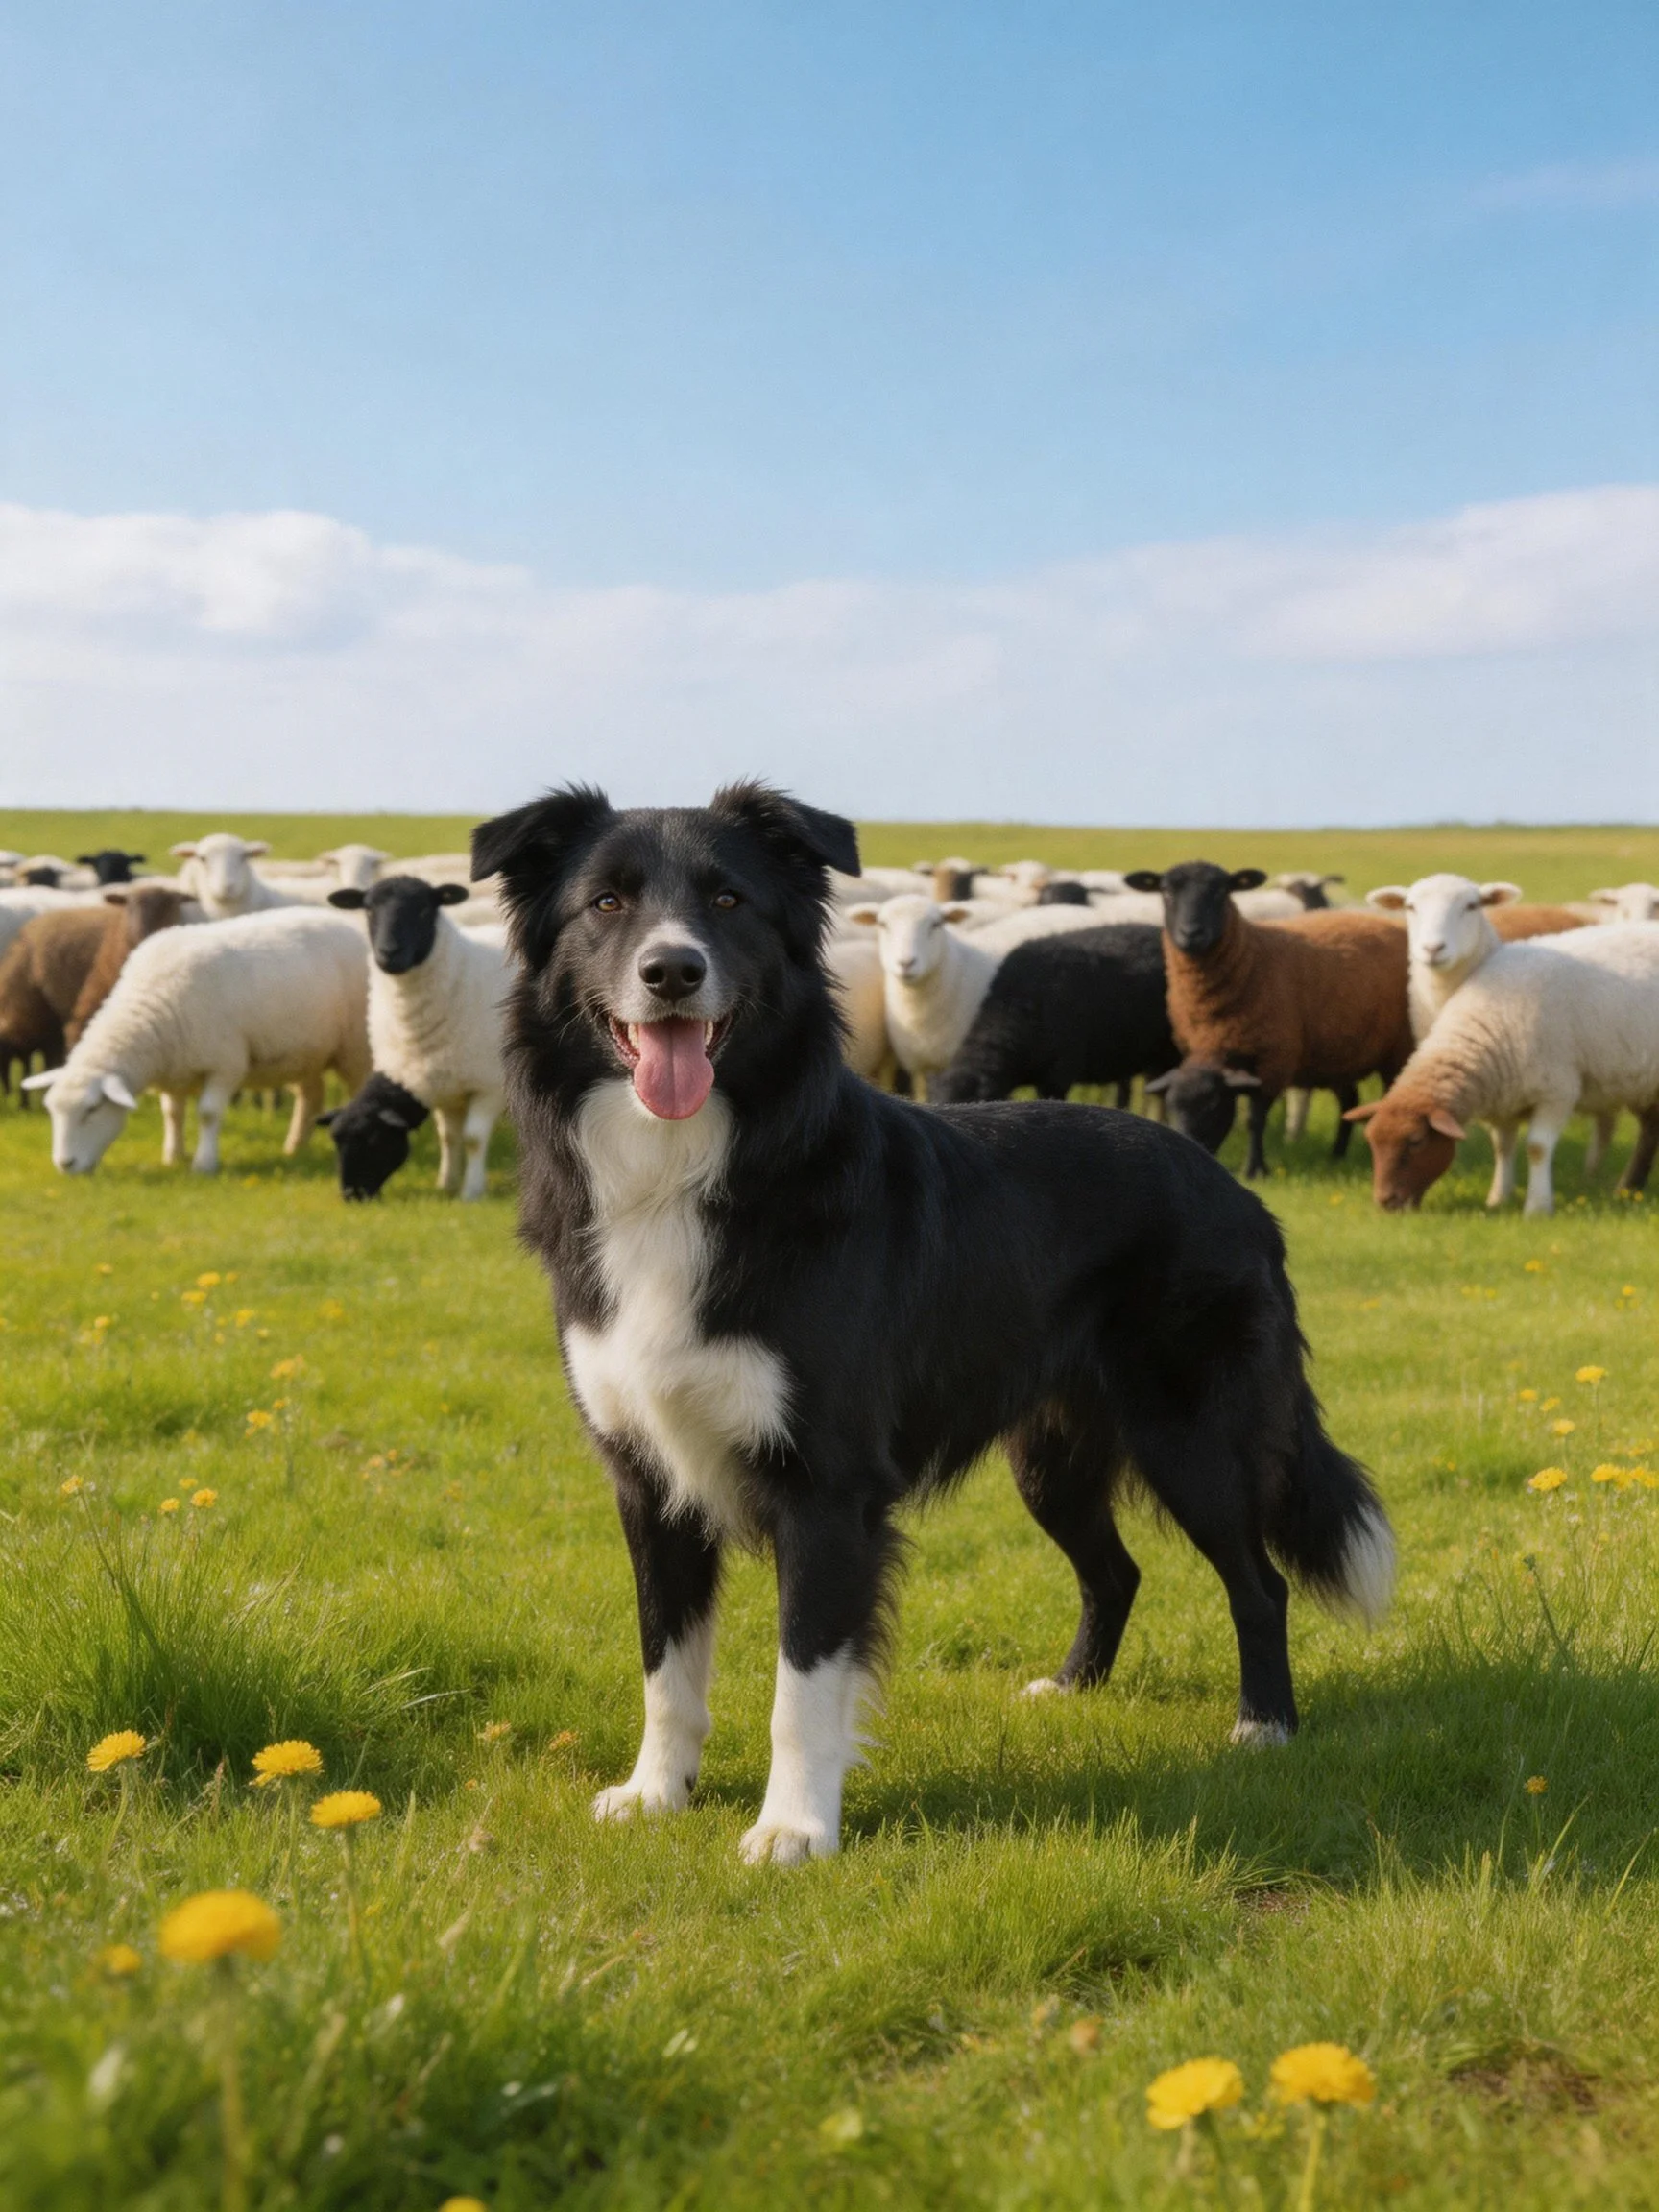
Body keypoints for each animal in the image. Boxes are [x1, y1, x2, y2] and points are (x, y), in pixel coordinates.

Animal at [23, 907, 370, 1174]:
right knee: (311, 1094)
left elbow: (207, 1113)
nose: (65, 1165)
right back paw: (295, 1149)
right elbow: (172, 1114)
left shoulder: (225, 1064)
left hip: (355, 1046)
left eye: (92, 1110)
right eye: (51, 1110)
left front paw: (204, 1164)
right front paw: (173, 1156)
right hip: (305, 1050)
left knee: (357, 1089)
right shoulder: (174, 1066)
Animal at [327, 877, 509, 1199]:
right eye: (368, 909)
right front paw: (446, 1184)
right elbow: (449, 1137)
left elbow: (473, 1138)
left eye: (425, 909)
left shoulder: (488, 1085)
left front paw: (471, 1192)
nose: (352, 1195)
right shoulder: (444, 1083)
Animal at [1124, 861, 1414, 1177]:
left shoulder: (1274, 1059)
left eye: (1221, 891)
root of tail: (1389, 924)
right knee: (1349, 1100)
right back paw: (1336, 1155)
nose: (1191, 933)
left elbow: (1255, 1119)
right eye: (1166, 892)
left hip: (1397, 1049)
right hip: (1339, 1052)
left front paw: (1255, 1169)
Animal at [1347, 926, 1659, 1214]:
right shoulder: (1505, 1100)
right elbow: (1503, 1147)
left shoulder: (1557, 1091)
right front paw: (1498, 1198)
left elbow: (1537, 1148)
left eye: (1416, 1142)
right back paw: (1629, 1187)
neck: (1486, 1026)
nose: (1386, 1202)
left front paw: (1537, 1207)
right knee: (1649, 1130)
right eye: (1372, 1142)